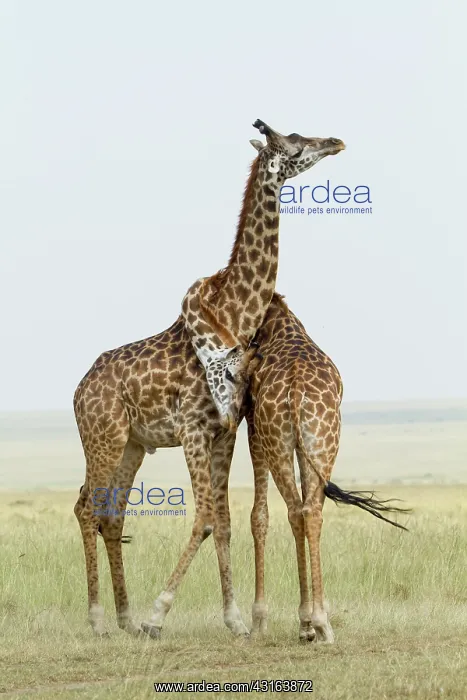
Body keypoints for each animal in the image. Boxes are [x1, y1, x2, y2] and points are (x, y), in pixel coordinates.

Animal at [244, 293, 410, 643]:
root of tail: (295, 388)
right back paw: (317, 621)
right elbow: (266, 513)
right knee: (307, 510)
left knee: (301, 510)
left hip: (297, 439)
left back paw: (312, 621)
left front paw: (274, 621)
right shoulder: (261, 428)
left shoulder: (262, 429)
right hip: (314, 439)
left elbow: (264, 514)